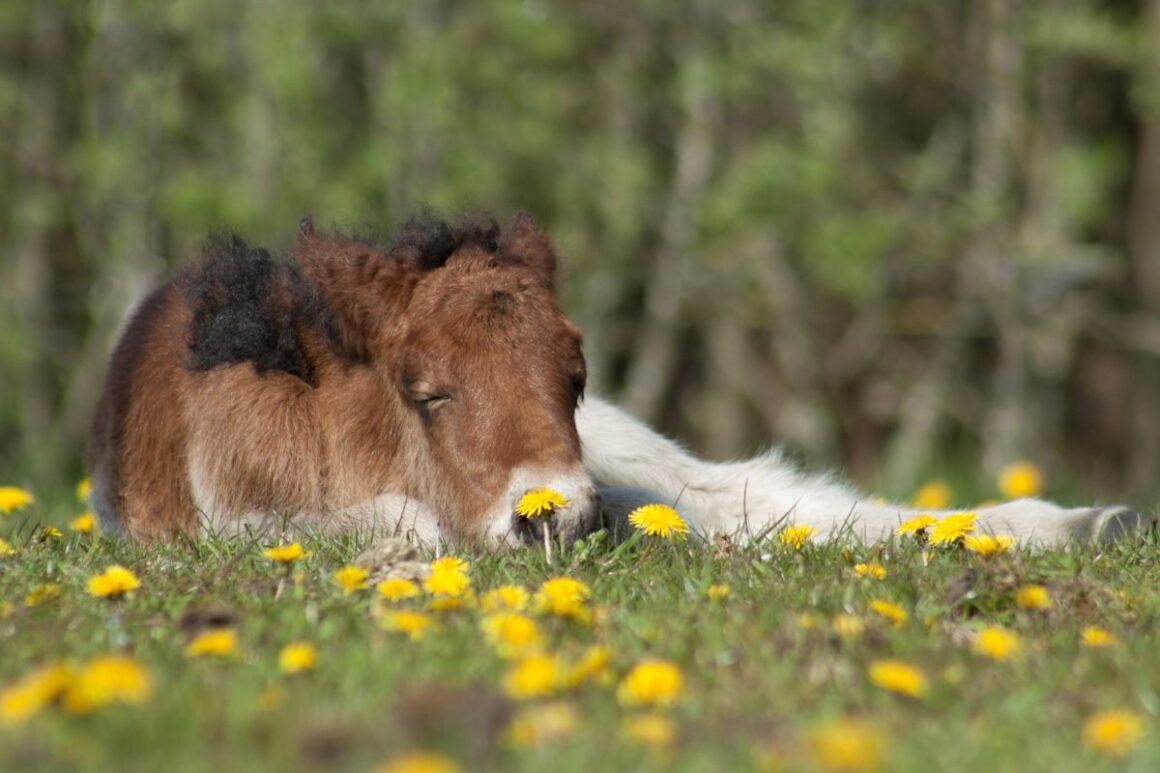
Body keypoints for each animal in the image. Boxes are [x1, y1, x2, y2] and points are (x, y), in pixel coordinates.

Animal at [90, 213, 1150, 545]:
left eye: (575, 372)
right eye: (426, 392)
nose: (551, 516)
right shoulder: (216, 527)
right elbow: (404, 524)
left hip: (627, 453)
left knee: (756, 495)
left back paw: (1092, 522)